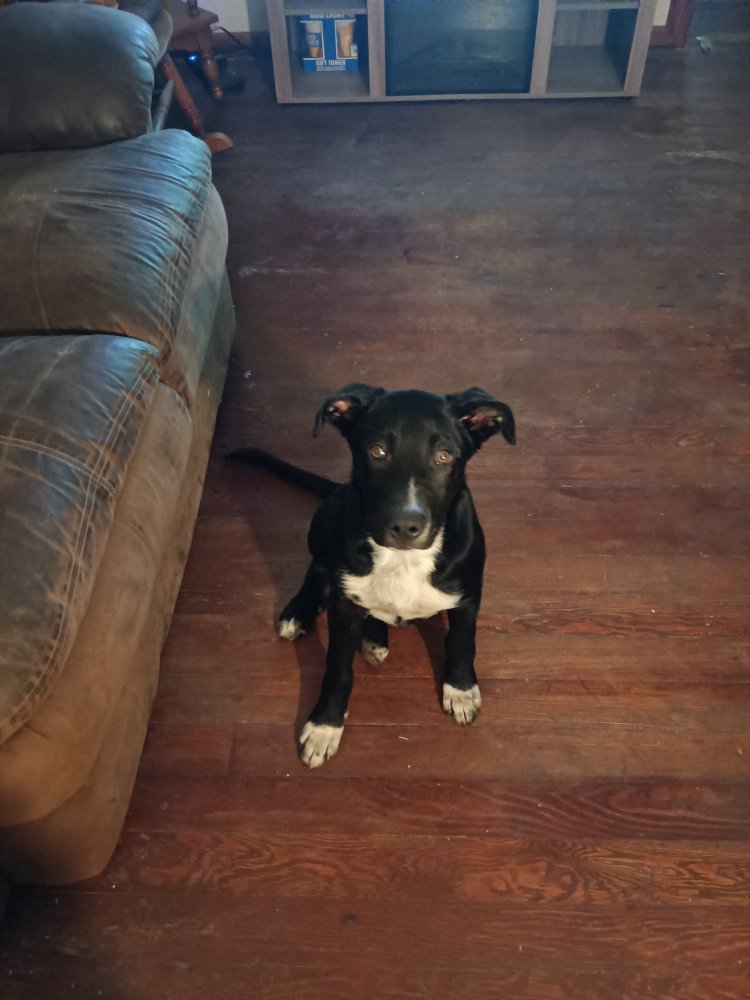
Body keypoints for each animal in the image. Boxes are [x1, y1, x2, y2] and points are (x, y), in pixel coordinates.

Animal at [228, 384, 515, 768]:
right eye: (377, 452)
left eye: (444, 456)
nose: (406, 526)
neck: (403, 560)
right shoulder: (344, 606)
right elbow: (337, 668)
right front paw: (325, 726)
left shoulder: (468, 595)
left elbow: (461, 642)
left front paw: (460, 690)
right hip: (325, 519)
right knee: (317, 566)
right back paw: (302, 612)